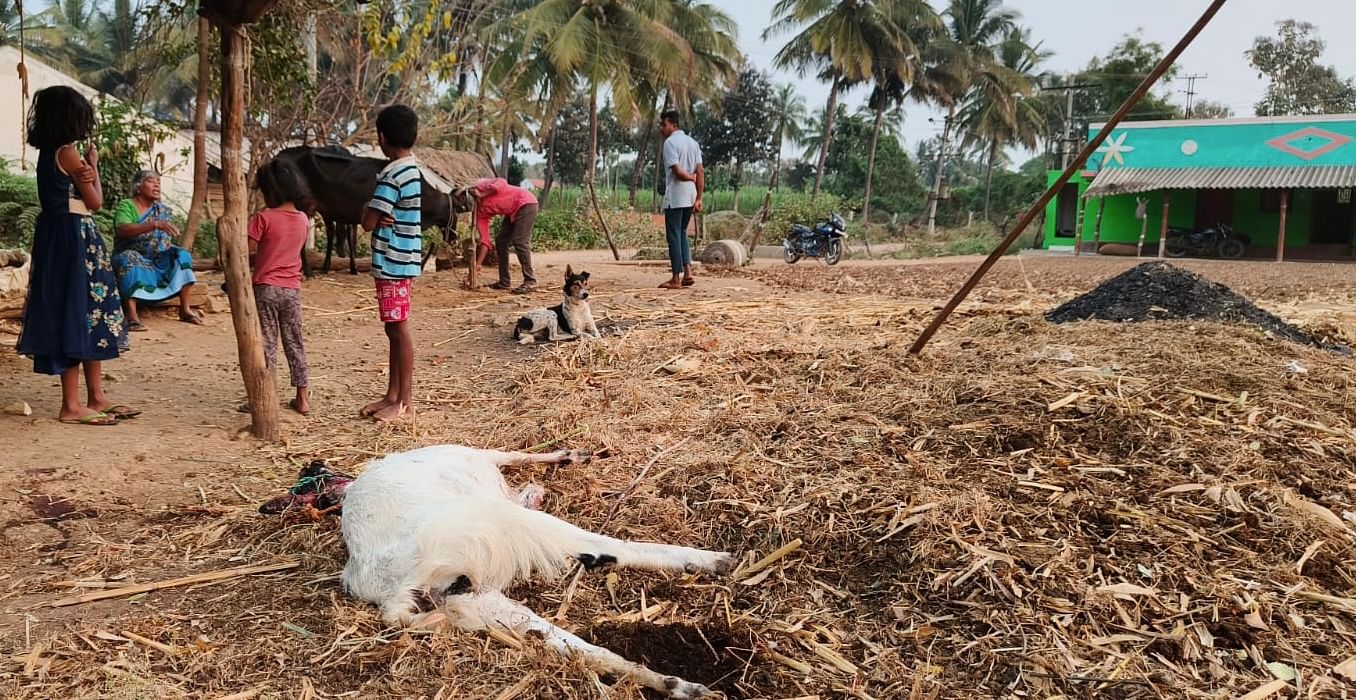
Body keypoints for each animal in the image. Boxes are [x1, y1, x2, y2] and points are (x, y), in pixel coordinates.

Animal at [344, 444, 737, 694]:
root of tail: (384, 587)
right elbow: (515, 454)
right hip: (497, 534)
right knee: (604, 545)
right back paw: (714, 560)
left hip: (473, 603)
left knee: (572, 643)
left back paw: (678, 685)